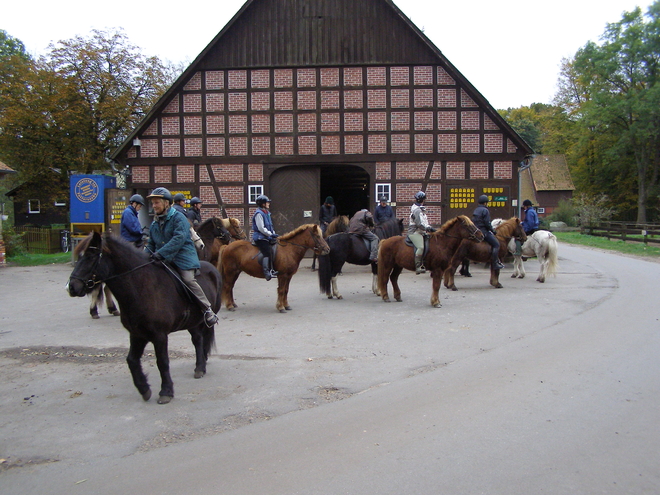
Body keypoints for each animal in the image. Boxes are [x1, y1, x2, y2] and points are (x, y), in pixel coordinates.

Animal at [67, 232, 223, 404]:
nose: (71, 287)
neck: (141, 286)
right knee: (197, 340)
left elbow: (162, 362)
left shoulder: (159, 335)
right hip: (192, 322)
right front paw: (144, 389)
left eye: (91, 256)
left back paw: (200, 366)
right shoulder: (137, 334)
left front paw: (166, 391)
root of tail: (213, 269)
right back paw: (200, 366)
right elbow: (132, 360)